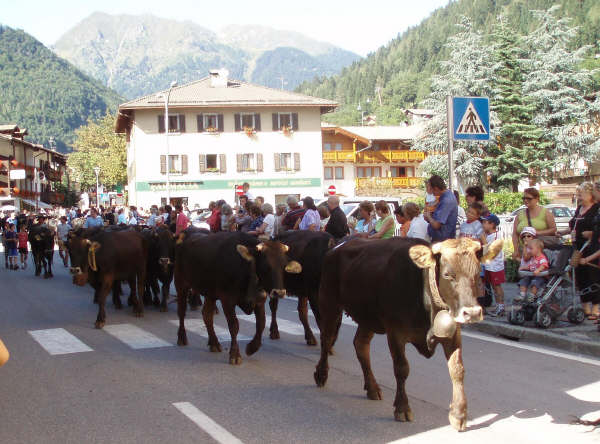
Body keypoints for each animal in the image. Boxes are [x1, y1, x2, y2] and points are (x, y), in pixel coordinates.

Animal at [312, 238, 504, 432]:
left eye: (477, 273)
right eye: (448, 275)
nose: (472, 313)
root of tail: (339, 245)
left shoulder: (453, 333)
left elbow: (457, 369)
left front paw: (458, 414)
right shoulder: (395, 332)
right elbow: (401, 368)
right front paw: (402, 408)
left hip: (368, 317)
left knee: (360, 345)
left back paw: (372, 387)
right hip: (329, 303)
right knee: (326, 338)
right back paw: (321, 374)